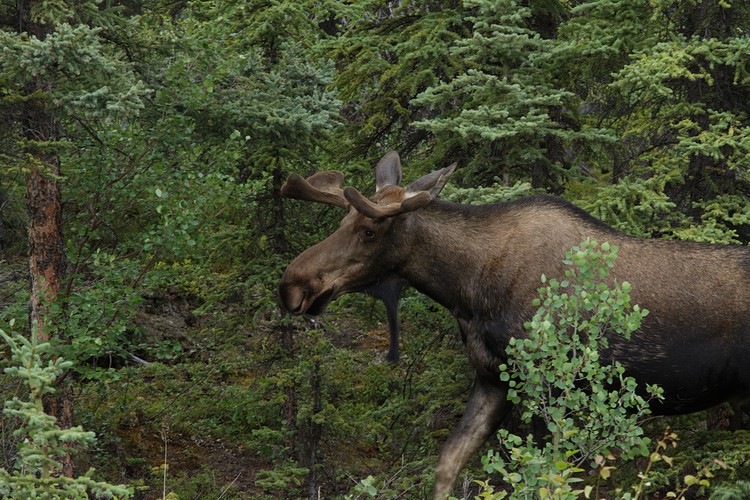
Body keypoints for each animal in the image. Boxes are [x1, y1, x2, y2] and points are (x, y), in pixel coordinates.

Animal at [279, 151, 750, 498]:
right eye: (343, 222)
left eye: (369, 231)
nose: (291, 286)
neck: (466, 291)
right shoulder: (493, 378)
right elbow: (447, 465)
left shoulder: (550, 384)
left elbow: (544, 477)